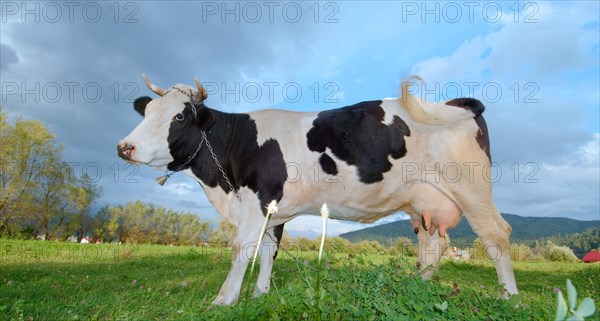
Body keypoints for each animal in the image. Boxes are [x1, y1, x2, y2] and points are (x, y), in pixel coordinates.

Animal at [118, 74, 520, 304]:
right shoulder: (275, 209)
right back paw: (416, 287)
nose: (125, 147)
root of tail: (453, 102)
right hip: (423, 201)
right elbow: (269, 251)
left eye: (179, 117)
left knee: (496, 235)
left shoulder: (258, 199)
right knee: (432, 244)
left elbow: (242, 248)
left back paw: (510, 298)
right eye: (147, 112)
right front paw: (261, 294)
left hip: (471, 186)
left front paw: (224, 300)